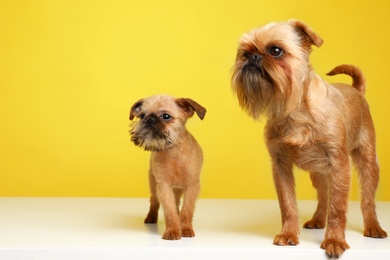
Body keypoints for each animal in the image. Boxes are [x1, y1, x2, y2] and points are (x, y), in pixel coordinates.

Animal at [129, 94, 207, 240]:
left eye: (166, 116)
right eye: (142, 116)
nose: (149, 119)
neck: (173, 151)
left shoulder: (192, 185)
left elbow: (187, 209)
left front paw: (185, 228)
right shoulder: (163, 186)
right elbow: (169, 209)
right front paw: (172, 230)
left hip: (178, 189)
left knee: (177, 202)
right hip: (154, 183)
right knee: (155, 200)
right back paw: (151, 217)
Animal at [232, 19, 386, 256]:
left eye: (275, 51)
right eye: (244, 53)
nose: (253, 57)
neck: (295, 109)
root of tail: (356, 90)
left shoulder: (339, 165)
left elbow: (338, 207)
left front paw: (334, 240)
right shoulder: (280, 166)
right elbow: (288, 204)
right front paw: (288, 234)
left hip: (368, 162)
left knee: (367, 199)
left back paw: (373, 227)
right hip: (318, 172)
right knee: (323, 196)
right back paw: (317, 220)